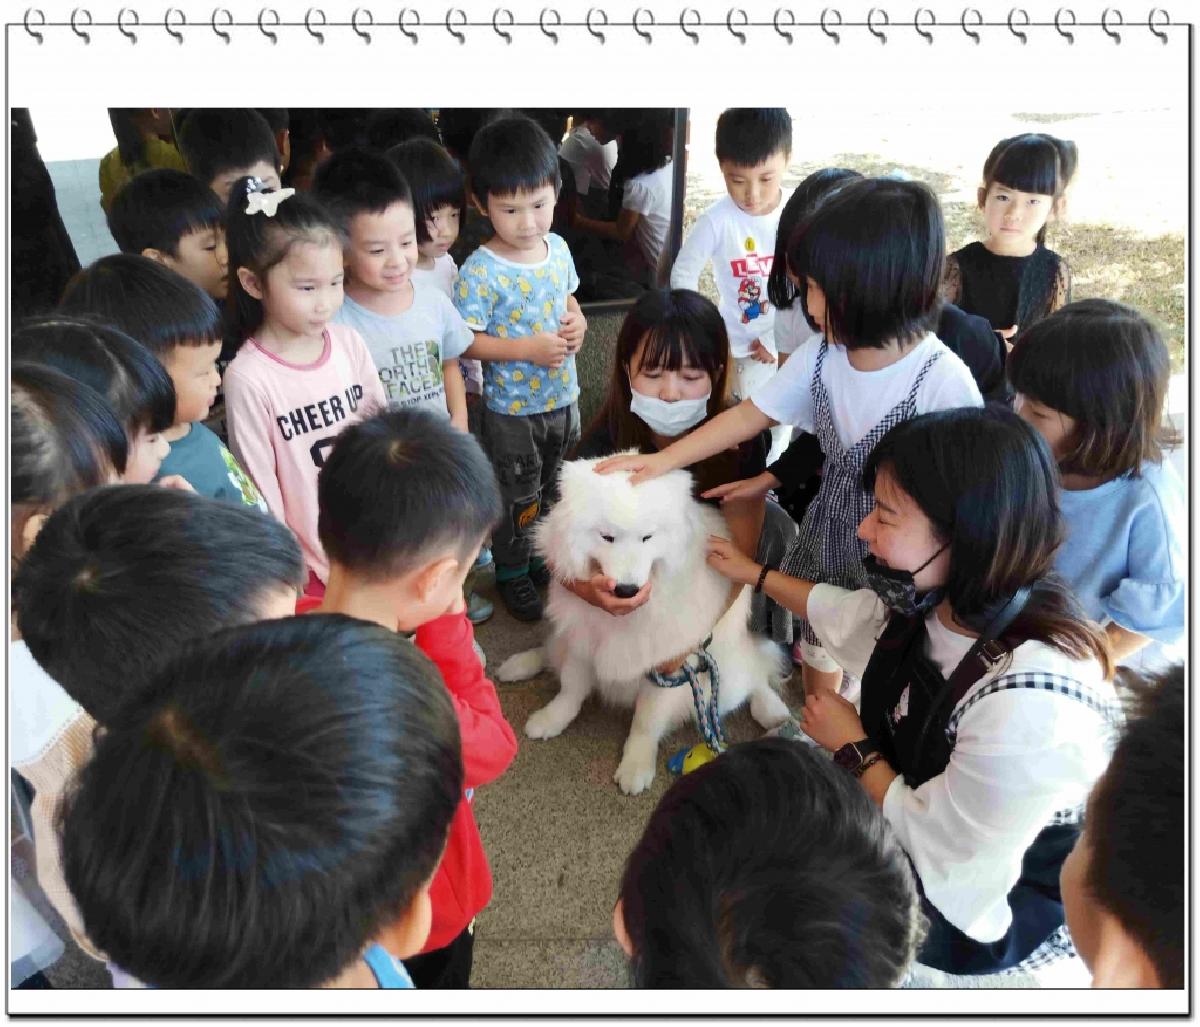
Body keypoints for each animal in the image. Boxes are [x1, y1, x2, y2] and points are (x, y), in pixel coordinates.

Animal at [492, 453, 792, 796]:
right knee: (550, 649)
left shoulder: (668, 663)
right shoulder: (583, 639)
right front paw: (551, 719)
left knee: (754, 673)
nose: (626, 590)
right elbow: (570, 689)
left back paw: (772, 710)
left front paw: (636, 767)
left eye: (647, 537)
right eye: (607, 537)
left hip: (726, 676)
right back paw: (517, 666)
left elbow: (646, 721)